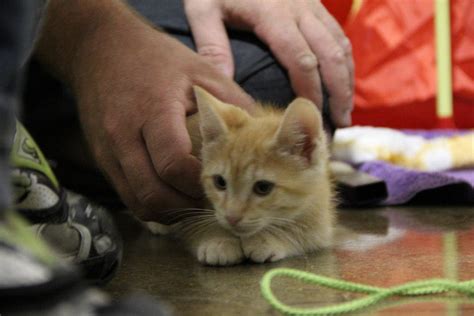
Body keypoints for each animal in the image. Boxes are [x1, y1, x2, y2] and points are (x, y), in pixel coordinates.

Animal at [146, 86, 336, 264]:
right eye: (220, 182)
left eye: (263, 187)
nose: (232, 217)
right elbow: (197, 221)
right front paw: (218, 239)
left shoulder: (320, 216)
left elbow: (306, 232)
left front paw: (268, 239)